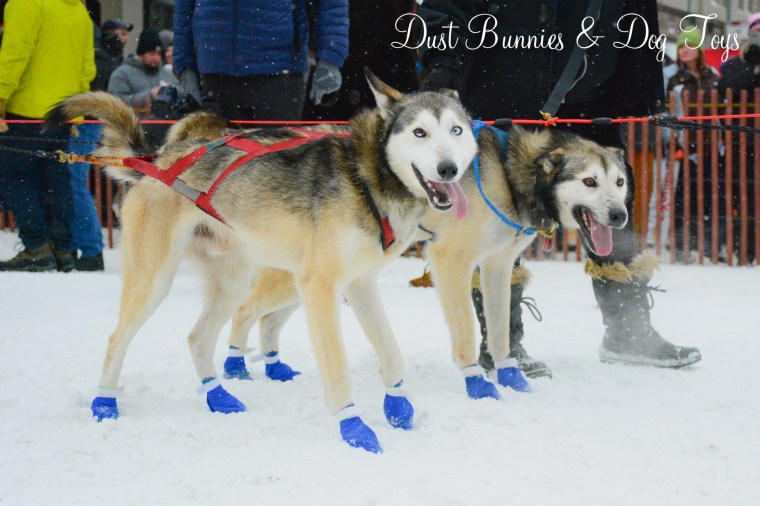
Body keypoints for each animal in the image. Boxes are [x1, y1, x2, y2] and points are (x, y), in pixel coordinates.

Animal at [46, 69, 477, 453]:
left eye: (456, 130)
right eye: (419, 132)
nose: (448, 169)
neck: (369, 174)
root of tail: (154, 161)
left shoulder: (360, 284)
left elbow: (391, 353)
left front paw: (399, 409)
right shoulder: (319, 287)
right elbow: (337, 369)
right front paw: (355, 429)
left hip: (232, 284)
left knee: (198, 338)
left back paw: (218, 396)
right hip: (154, 281)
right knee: (117, 338)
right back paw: (104, 404)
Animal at [221, 124, 629, 399]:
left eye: (620, 182)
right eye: (589, 181)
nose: (620, 216)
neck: (511, 174)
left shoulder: (497, 267)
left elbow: (500, 333)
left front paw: (512, 377)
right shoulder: (452, 262)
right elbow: (466, 334)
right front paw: (477, 383)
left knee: (267, 321)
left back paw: (272, 365)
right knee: (243, 311)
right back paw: (235, 368)